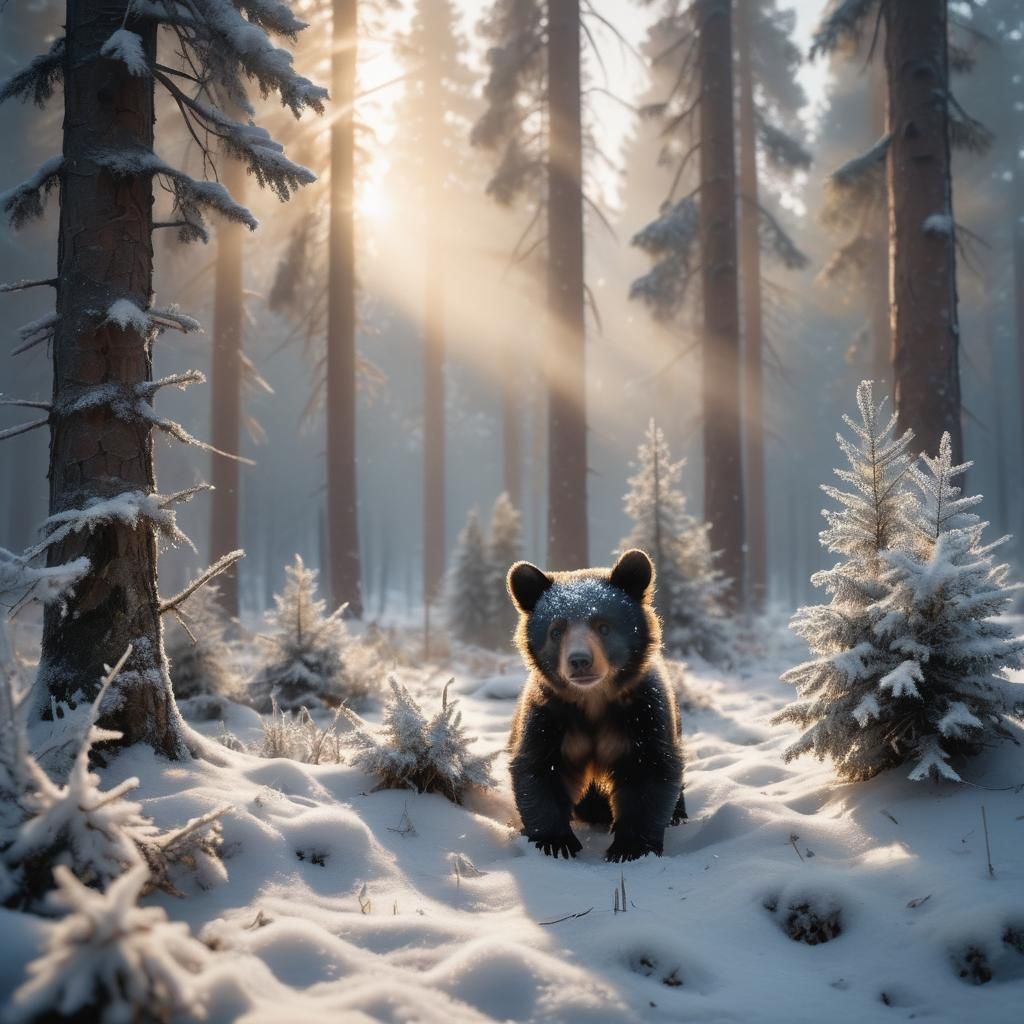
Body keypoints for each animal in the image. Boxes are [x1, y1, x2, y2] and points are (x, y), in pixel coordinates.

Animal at [506, 548, 686, 862]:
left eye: (603, 626)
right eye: (556, 631)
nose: (579, 661)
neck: (593, 701)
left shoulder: (643, 714)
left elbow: (650, 771)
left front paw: (630, 847)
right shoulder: (549, 717)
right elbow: (538, 769)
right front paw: (556, 842)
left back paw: (677, 813)